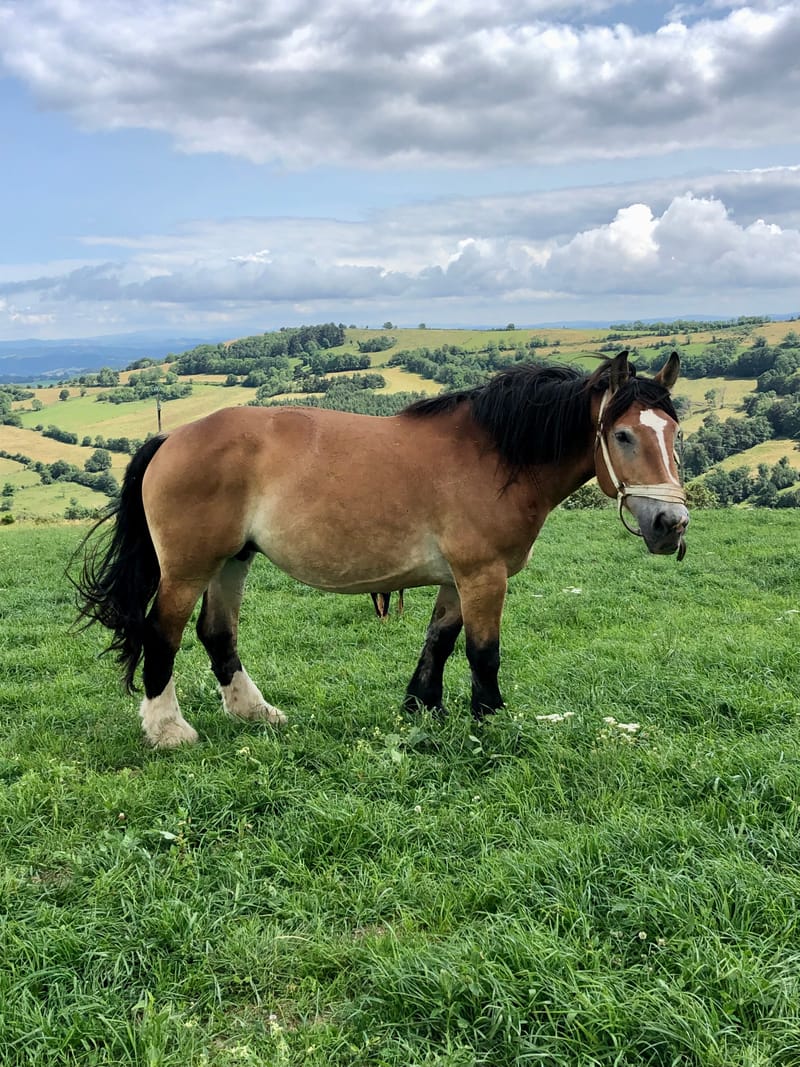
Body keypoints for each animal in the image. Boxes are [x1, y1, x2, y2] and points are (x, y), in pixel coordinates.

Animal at [73, 352, 691, 751]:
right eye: (623, 436)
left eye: (674, 434)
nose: (671, 524)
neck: (497, 455)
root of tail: (170, 439)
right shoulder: (483, 575)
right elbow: (482, 652)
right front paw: (489, 719)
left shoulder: (455, 579)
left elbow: (439, 641)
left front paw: (422, 706)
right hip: (188, 568)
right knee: (163, 633)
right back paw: (168, 730)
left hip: (233, 561)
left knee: (216, 633)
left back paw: (254, 712)